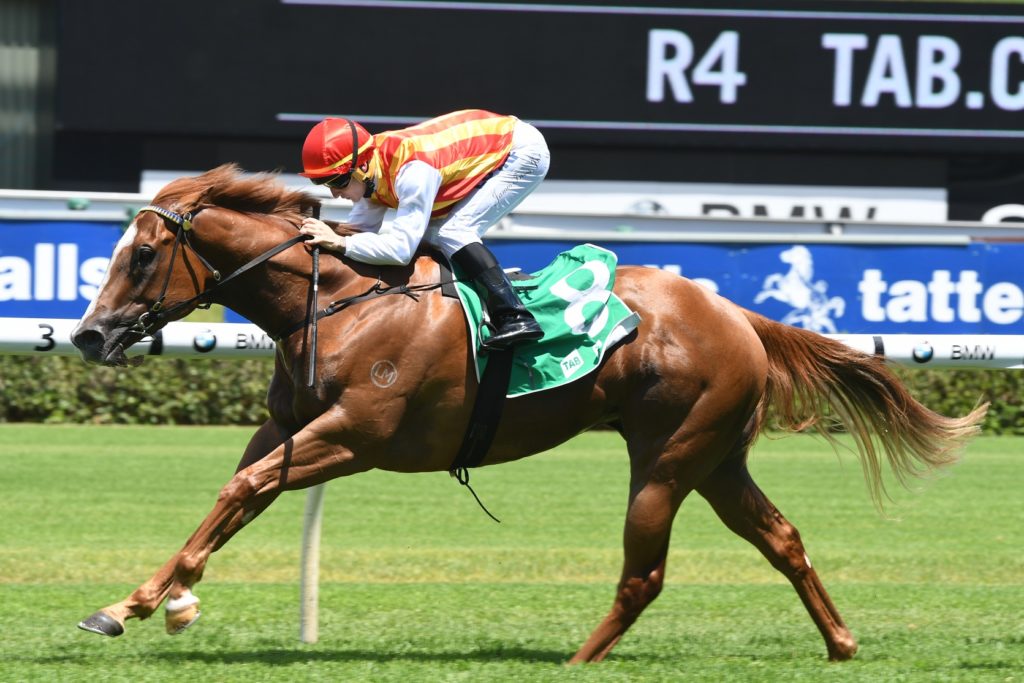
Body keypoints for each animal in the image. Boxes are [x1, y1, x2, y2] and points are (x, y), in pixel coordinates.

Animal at [71, 164, 986, 663]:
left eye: (142, 255)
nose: (87, 334)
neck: (335, 301)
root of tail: (737, 313)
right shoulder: (291, 426)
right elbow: (239, 492)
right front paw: (143, 601)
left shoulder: (358, 435)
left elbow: (245, 488)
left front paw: (155, 600)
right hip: (718, 457)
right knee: (783, 538)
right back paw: (840, 641)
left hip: (667, 456)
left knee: (645, 572)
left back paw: (577, 659)